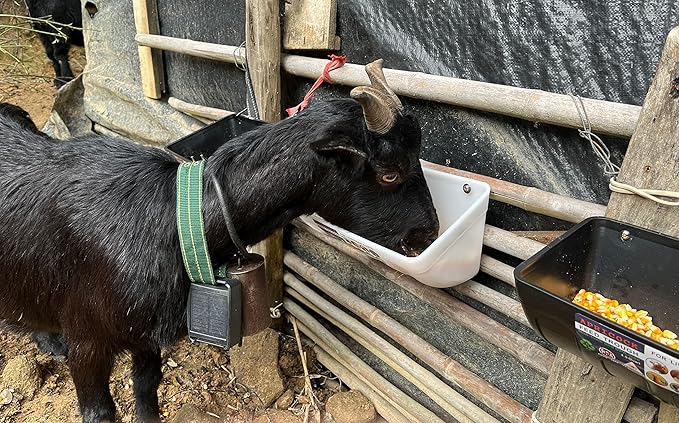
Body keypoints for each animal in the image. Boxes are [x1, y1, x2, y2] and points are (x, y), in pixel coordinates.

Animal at [0, 60, 438, 423]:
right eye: (389, 173)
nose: (428, 232)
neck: (173, 218)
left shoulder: (147, 336)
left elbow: (146, 389)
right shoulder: (88, 341)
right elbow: (98, 412)